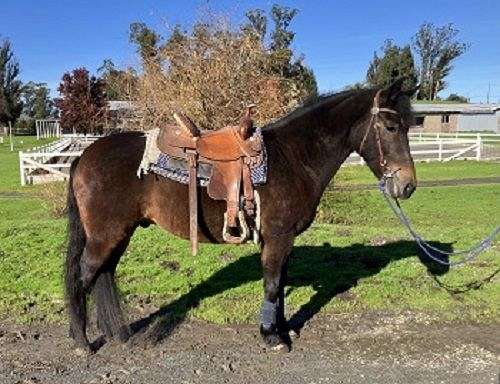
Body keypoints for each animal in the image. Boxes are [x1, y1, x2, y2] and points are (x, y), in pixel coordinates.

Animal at [65, 79, 418, 352]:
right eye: (391, 126)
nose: (408, 185)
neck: (293, 157)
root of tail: (84, 156)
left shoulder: (281, 240)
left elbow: (280, 284)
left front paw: (283, 328)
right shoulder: (278, 237)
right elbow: (273, 285)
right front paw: (272, 337)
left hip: (119, 235)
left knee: (102, 274)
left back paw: (117, 334)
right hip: (106, 235)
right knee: (83, 276)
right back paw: (82, 342)